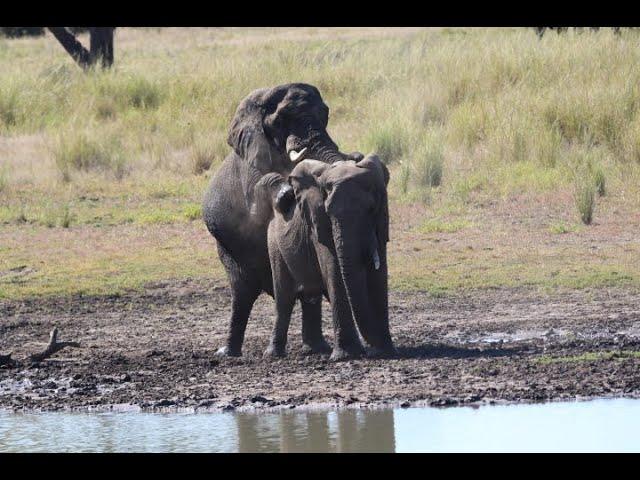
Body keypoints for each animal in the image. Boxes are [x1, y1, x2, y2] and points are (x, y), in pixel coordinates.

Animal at [205, 82, 364, 356]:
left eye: (325, 115)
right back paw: (228, 353)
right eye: (280, 120)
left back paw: (315, 349)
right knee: (242, 293)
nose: (356, 157)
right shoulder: (251, 161)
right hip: (226, 248)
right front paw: (285, 194)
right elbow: (258, 199)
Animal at [251, 156, 392, 362]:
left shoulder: (381, 222)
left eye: (371, 209)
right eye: (328, 212)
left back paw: (315, 350)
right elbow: (335, 273)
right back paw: (273, 354)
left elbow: (378, 276)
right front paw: (346, 356)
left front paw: (386, 351)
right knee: (284, 298)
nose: (372, 350)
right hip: (274, 242)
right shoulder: (319, 226)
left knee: (311, 297)